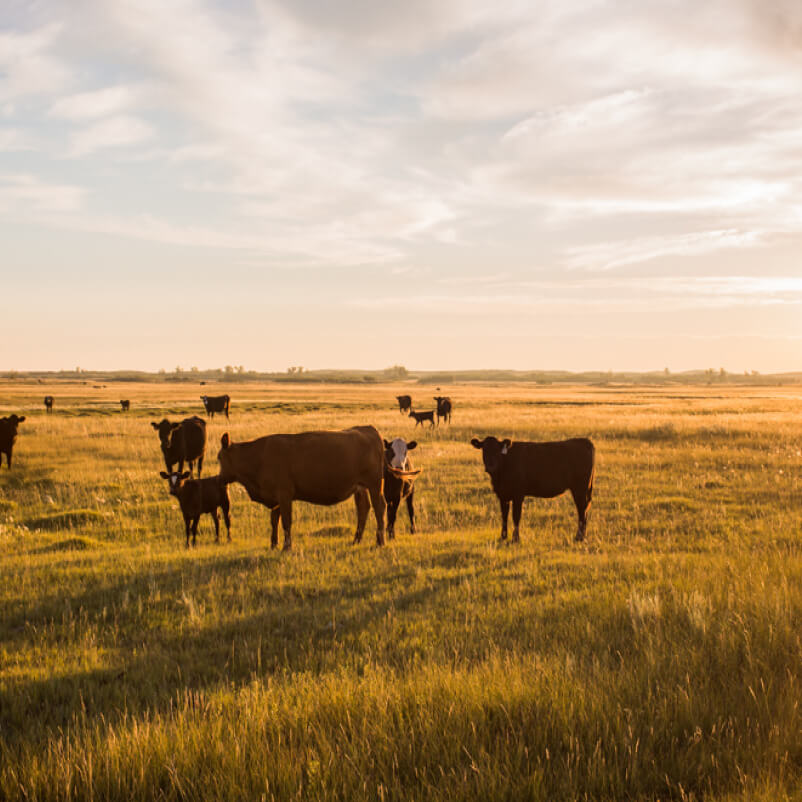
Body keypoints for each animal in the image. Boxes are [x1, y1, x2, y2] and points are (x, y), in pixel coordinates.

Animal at [216, 424, 384, 552]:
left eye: (219, 458)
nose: (219, 479)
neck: (258, 457)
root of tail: (368, 429)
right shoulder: (276, 497)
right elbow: (274, 520)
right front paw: (273, 545)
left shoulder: (284, 495)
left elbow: (286, 521)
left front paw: (286, 547)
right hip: (360, 488)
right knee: (363, 509)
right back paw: (356, 540)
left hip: (374, 484)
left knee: (379, 507)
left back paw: (380, 541)